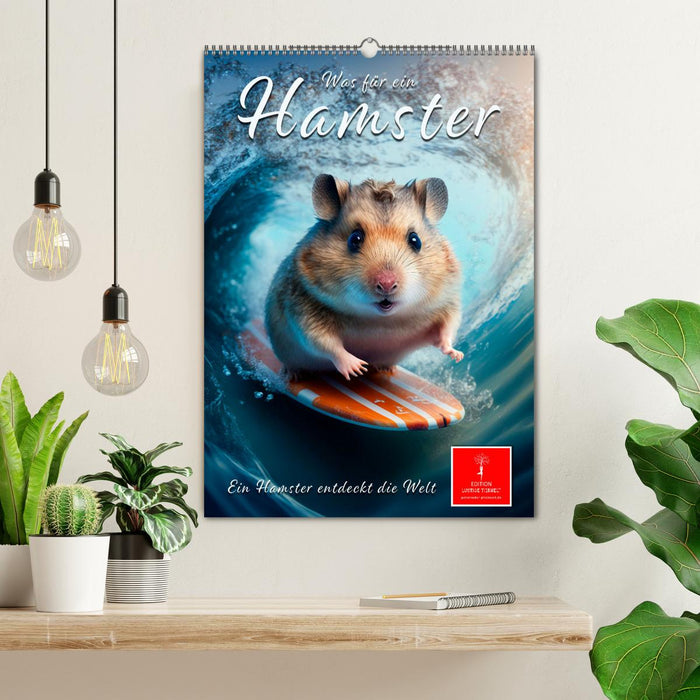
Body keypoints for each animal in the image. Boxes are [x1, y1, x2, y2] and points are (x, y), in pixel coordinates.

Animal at [264, 174, 463, 380]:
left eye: (416, 240)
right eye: (355, 238)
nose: (386, 285)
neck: (380, 320)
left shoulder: (448, 304)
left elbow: (447, 329)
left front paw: (456, 355)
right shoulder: (303, 311)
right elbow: (325, 343)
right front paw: (358, 367)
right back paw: (291, 375)